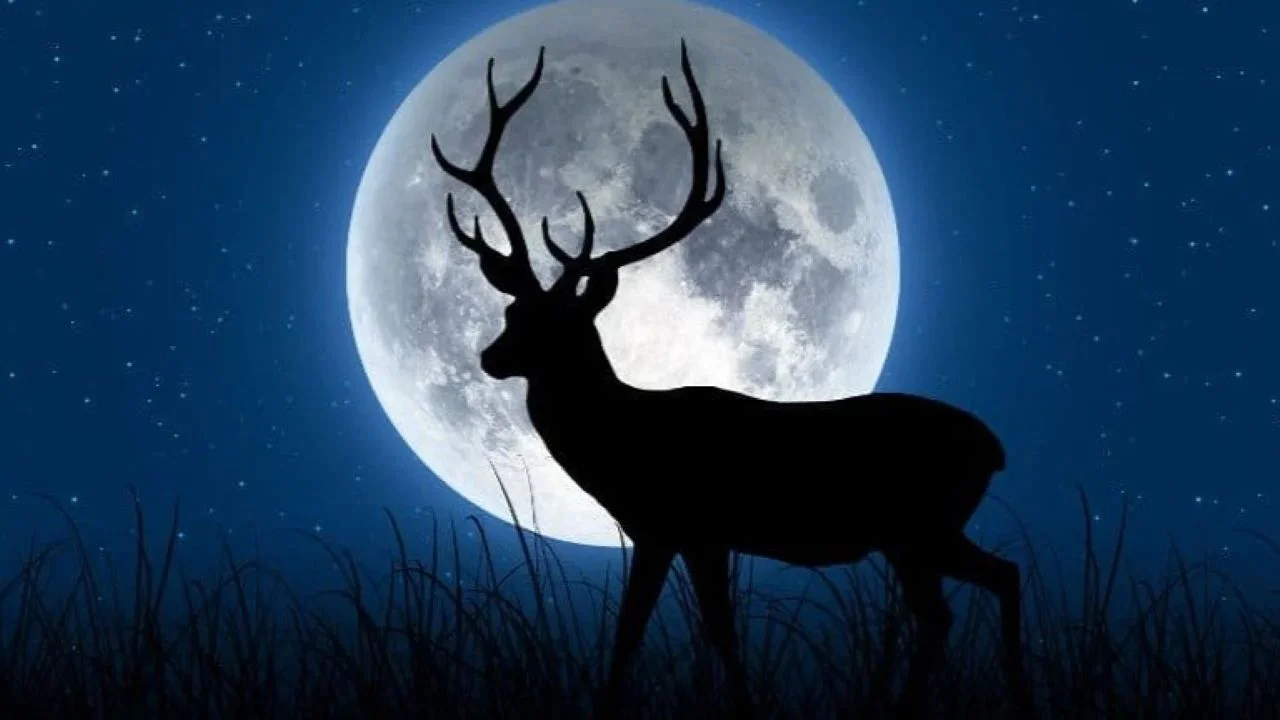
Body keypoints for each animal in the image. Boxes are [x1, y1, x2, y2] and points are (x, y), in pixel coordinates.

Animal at [428, 40, 1034, 720]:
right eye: (512, 312)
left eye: (559, 325)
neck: (623, 442)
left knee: (946, 609)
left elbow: (683, 631)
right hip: (928, 532)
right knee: (995, 581)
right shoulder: (674, 534)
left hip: (917, 526)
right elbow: (665, 632)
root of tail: (994, 448)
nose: (490, 358)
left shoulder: (686, 526)